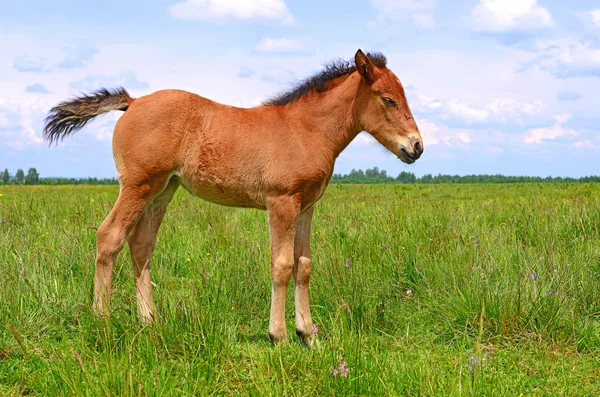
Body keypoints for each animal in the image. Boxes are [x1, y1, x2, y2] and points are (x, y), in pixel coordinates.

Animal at [44, 49, 422, 346]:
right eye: (388, 98)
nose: (416, 147)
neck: (306, 130)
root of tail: (132, 102)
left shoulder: (306, 207)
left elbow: (303, 266)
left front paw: (308, 335)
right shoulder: (281, 202)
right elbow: (281, 265)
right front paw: (279, 335)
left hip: (162, 190)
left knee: (140, 246)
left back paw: (150, 321)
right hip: (137, 186)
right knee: (109, 237)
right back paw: (102, 322)